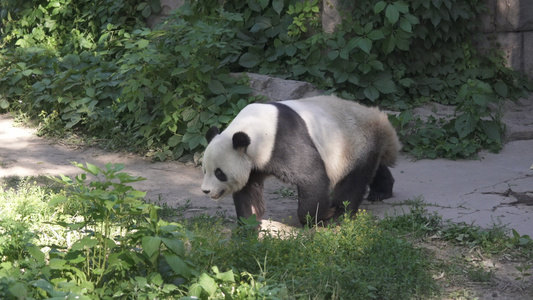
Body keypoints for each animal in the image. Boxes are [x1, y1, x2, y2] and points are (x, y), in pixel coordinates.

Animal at [200, 95, 400, 226]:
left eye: (219, 173)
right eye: (205, 170)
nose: (205, 190)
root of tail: (380, 119)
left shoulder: (282, 139)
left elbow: (310, 175)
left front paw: (318, 216)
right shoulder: (254, 162)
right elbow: (248, 190)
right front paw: (250, 221)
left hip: (353, 143)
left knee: (353, 179)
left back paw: (339, 213)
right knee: (375, 167)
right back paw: (381, 191)